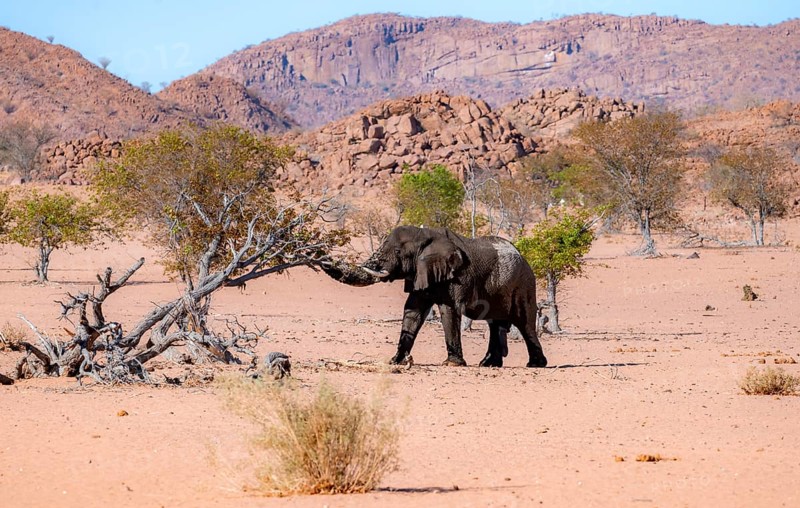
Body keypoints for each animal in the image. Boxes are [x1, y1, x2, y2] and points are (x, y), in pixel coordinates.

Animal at [324, 226, 547, 368]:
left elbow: (448, 310)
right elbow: (413, 311)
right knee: (495, 323)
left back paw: (536, 364)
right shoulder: (421, 272)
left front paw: (452, 364)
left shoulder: (456, 276)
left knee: (524, 323)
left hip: (523, 283)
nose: (323, 259)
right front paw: (396, 361)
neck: (427, 235)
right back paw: (488, 364)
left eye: (397, 251)